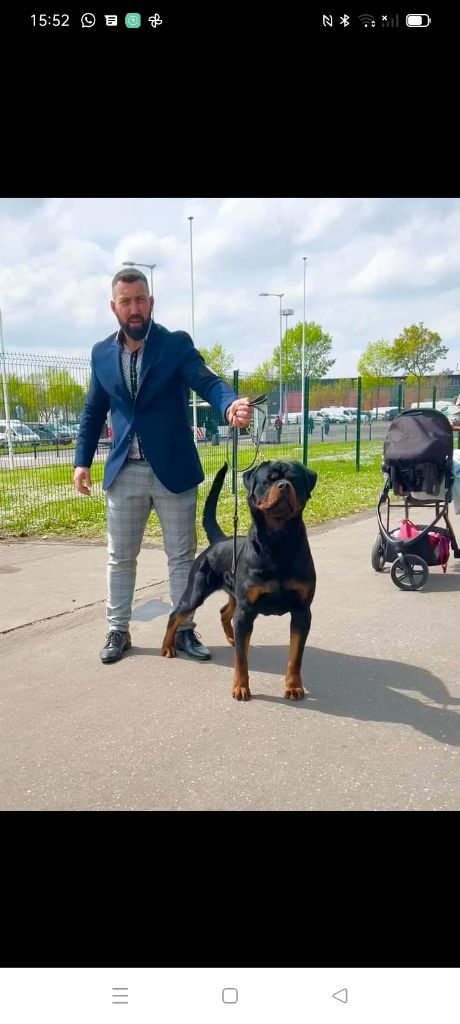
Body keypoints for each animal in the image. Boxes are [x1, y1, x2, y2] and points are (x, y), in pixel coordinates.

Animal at [161, 460, 317, 701]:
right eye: (269, 480)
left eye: (295, 479)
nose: (284, 485)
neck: (277, 543)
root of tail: (219, 540)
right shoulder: (246, 610)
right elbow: (241, 659)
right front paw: (240, 687)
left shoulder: (302, 611)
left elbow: (295, 656)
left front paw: (293, 686)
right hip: (196, 592)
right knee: (176, 614)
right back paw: (167, 647)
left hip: (234, 595)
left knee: (225, 612)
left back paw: (232, 637)